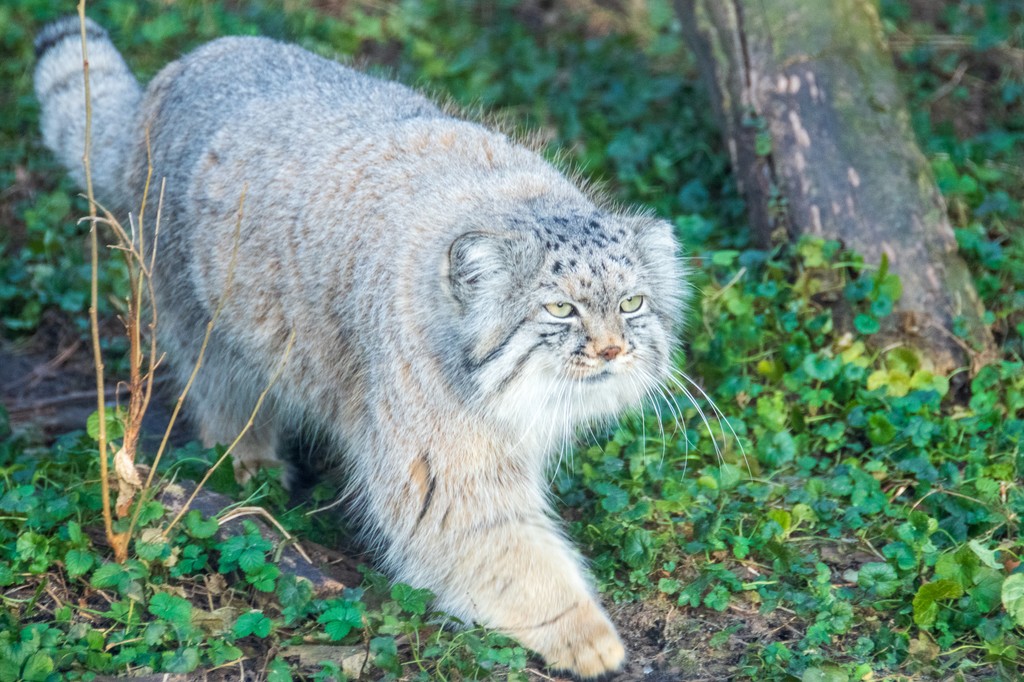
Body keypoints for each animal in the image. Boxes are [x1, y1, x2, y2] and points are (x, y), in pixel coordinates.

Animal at [36, 15, 684, 675]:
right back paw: (250, 459)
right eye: (560, 308)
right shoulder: (442, 464)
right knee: (220, 392)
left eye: (631, 304)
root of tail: (178, 69)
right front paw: (584, 634)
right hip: (201, 316)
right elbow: (505, 550)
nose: (612, 351)